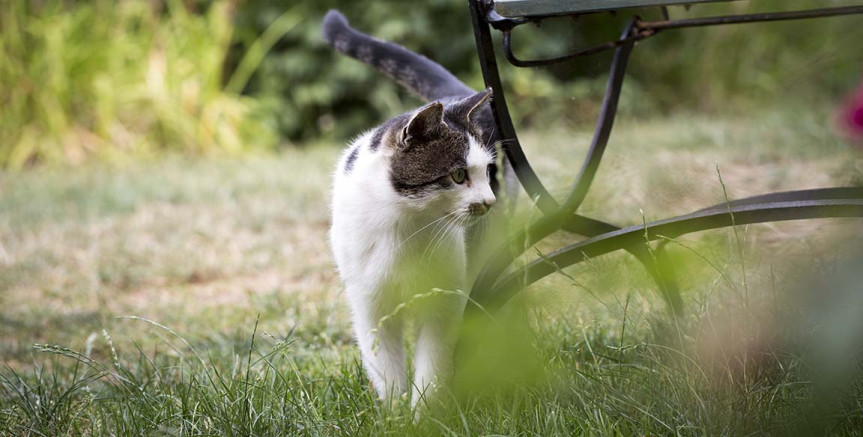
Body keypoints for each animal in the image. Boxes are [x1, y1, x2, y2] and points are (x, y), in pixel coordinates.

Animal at [324, 9, 500, 406]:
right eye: (458, 175)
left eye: (487, 172)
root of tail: (453, 96)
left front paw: (425, 411)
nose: (488, 201)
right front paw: (394, 412)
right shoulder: (369, 305)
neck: (405, 225)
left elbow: (431, 364)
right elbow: (385, 366)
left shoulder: (443, 301)